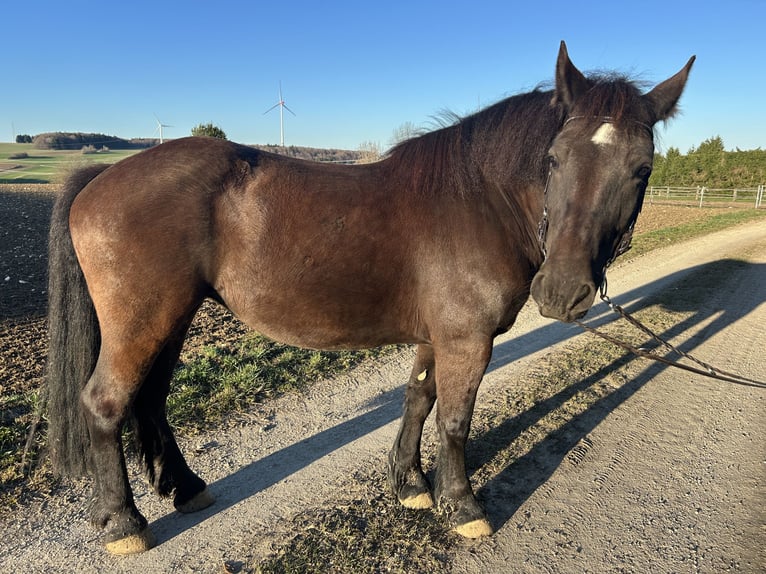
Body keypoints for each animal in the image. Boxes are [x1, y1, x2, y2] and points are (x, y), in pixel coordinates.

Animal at [45, 42, 694, 554]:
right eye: (554, 159)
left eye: (642, 169)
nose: (562, 293)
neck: (479, 202)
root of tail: (103, 176)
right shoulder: (467, 339)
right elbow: (455, 418)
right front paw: (463, 506)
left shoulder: (438, 336)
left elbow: (418, 399)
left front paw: (409, 484)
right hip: (144, 320)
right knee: (106, 403)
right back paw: (123, 524)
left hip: (173, 317)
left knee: (151, 399)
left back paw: (185, 488)